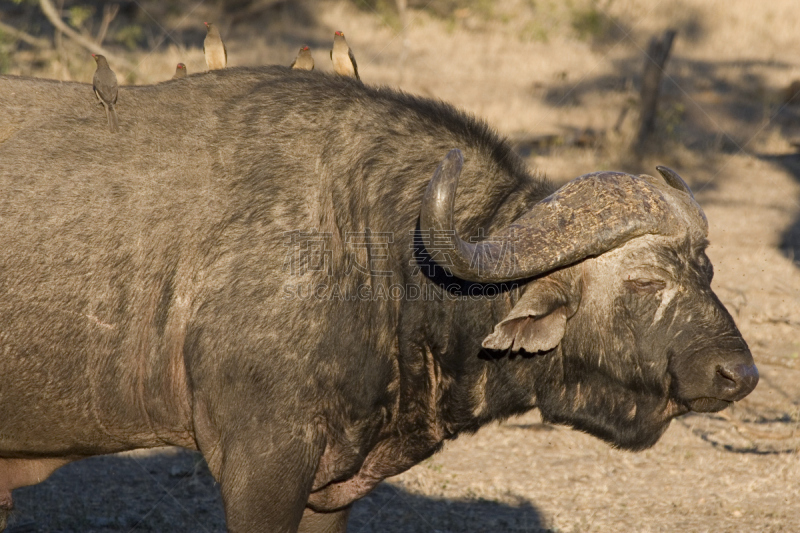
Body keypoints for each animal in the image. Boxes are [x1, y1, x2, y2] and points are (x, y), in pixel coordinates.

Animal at [0, 68, 756, 528]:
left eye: (707, 269)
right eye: (646, 282)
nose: (739, 374)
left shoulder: (332, 485)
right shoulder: (260, 467)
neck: (371, 250)